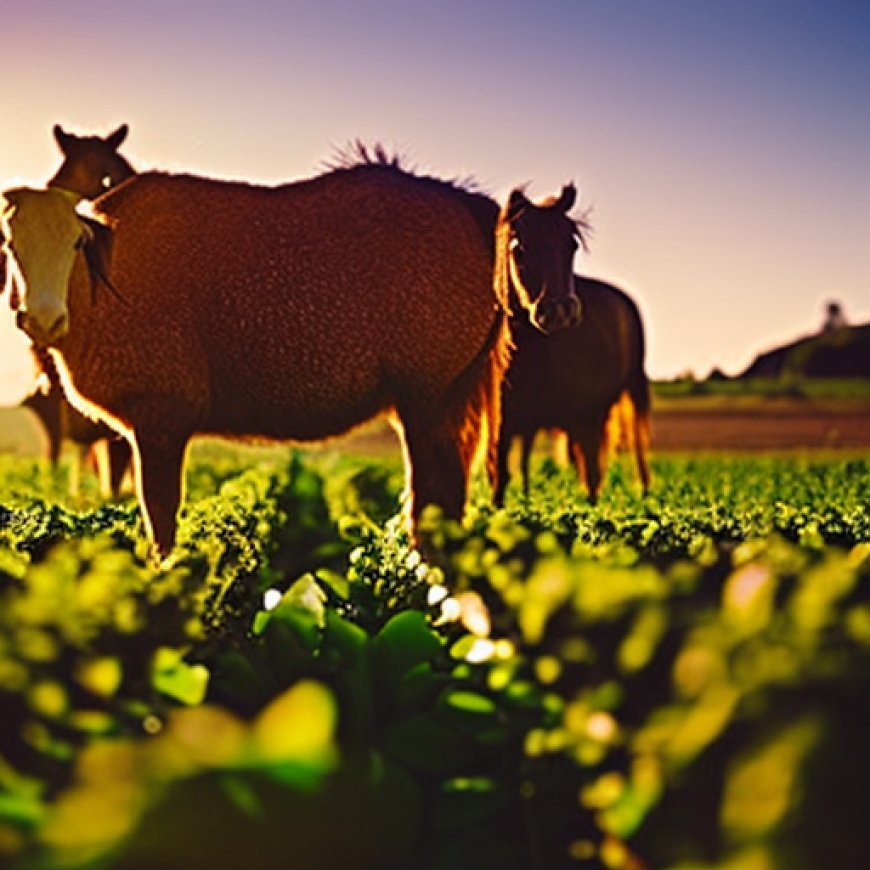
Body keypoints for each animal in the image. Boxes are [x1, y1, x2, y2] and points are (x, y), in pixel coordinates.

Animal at [3, 154, 584, 560]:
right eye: (9, 245)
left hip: (427, 400)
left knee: (430, 502)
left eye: (74, 244)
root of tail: (473, 212)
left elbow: (161, 519)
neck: (104, 273)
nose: (42, 317)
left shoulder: (159, 421)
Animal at [494, 187, 652, 508]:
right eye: (519, 247)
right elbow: (503, 480)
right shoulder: (509, 426)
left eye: (573, 244)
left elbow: (590, 476)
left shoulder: (583, 418)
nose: (560, 311)